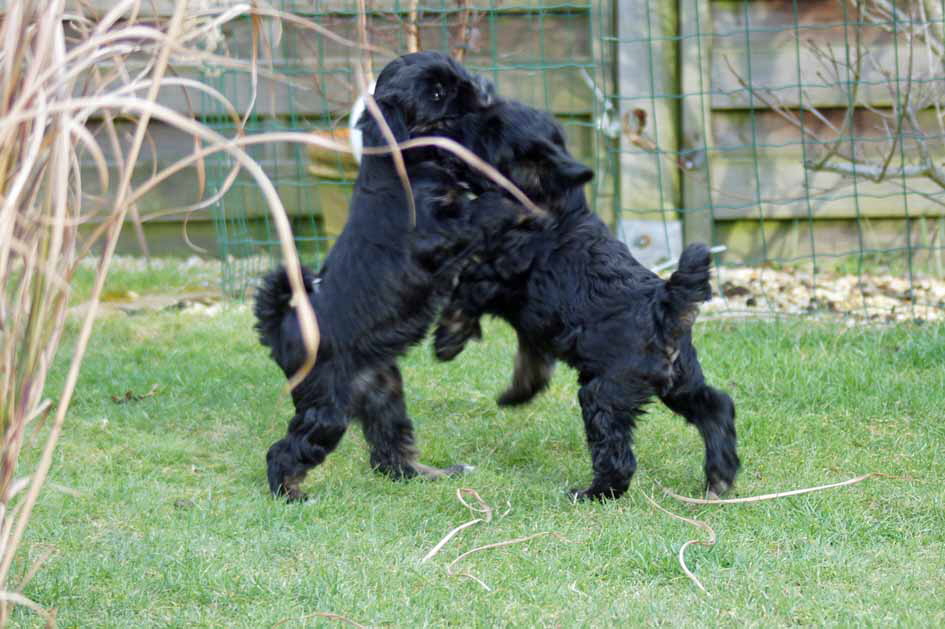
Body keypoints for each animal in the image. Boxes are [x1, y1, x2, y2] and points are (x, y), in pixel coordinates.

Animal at [432, 99, 740, 500]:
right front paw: (517, 393)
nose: (447, 127)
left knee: (617, 454)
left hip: (605, 394)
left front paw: (447, 341)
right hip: (680, 381)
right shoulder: (533, 324)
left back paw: (596, 492)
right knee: (717, 407)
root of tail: (666, 304)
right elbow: (531, 361)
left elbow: (462, 292)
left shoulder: (495, 276)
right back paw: (719, 477)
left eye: (489, 129)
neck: (550, 201)